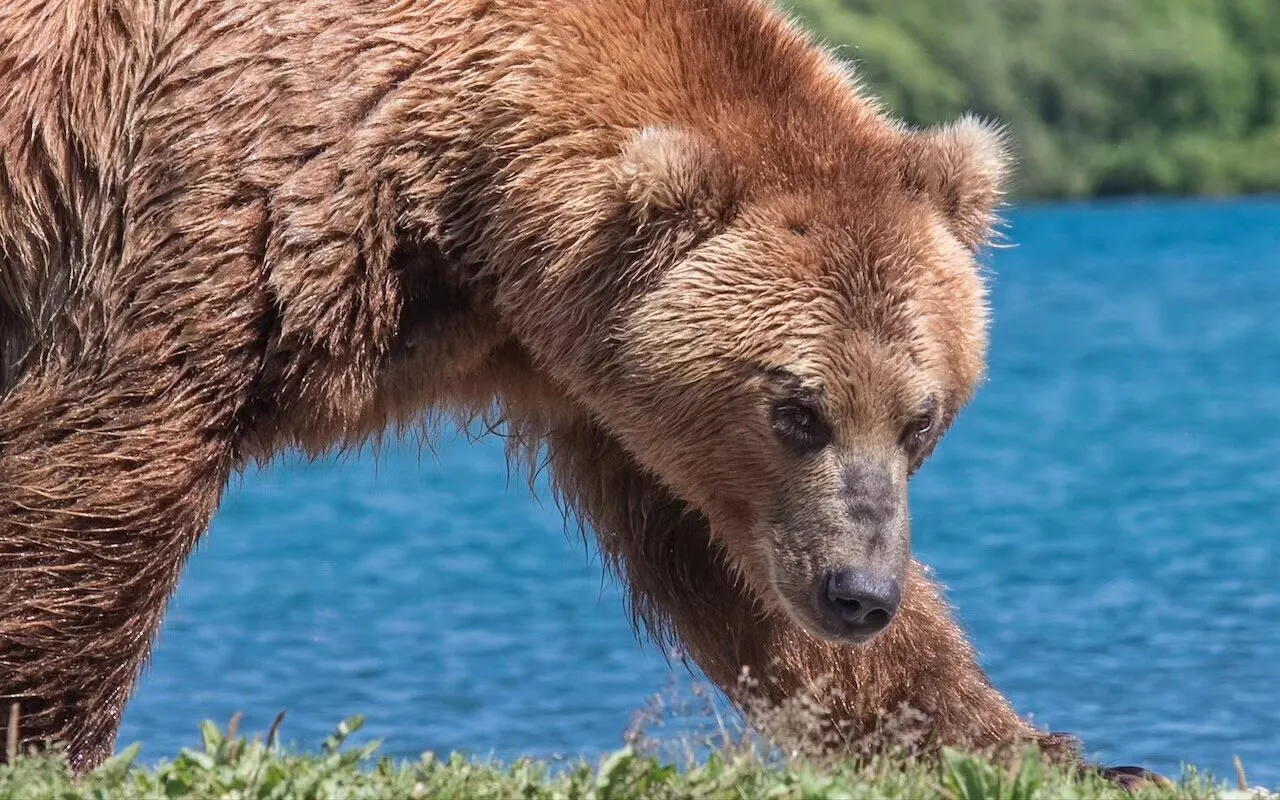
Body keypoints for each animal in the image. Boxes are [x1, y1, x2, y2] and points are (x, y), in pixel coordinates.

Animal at [0, 0, 1154, 784]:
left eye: (921, 417)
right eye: (796, 408)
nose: (859, 592)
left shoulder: (594, 370)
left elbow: (719, 555)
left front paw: (1040, 748)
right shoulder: (208, 201)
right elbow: (109, 455)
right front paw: (44, 738)